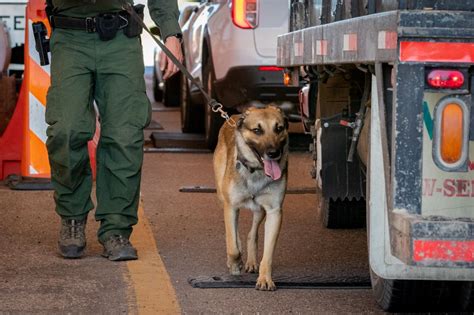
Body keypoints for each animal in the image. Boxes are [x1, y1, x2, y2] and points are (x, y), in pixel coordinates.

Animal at [214, 106, 288, 292]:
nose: (274, 153)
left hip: (260, 210)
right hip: (223, 198)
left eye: (279, 128)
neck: (256, 171)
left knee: (252, 233)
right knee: (233, 234)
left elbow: (268, 254)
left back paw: (251, 261)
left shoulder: (274, 211)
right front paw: (234, 264)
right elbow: (233, 246)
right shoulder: (230, 206)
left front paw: (265, 279)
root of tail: (232, 116)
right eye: (257, 130)